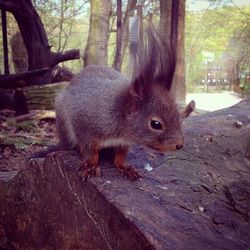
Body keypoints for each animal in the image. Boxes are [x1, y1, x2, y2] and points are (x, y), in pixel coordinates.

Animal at [31, 26, 195, 180]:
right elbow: (91, 150)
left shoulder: (124, 142)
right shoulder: (84, 125)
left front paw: (125, 167)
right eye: (156, 124)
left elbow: (121, 154)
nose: (179, 145)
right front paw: (91, 165)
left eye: (178, 114)